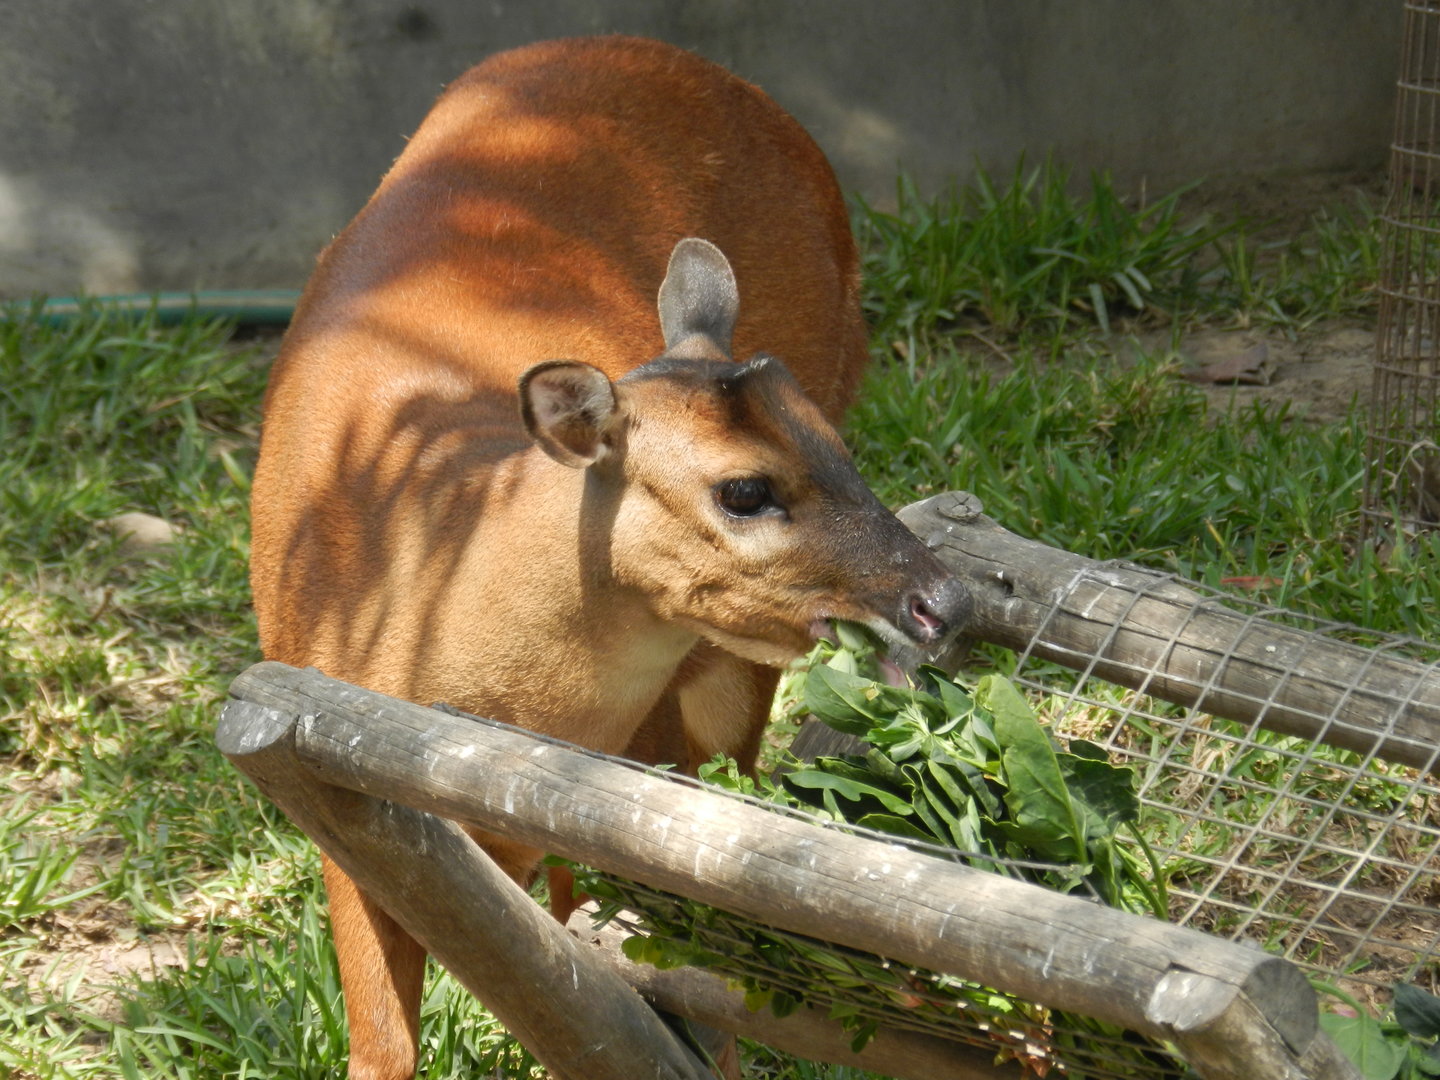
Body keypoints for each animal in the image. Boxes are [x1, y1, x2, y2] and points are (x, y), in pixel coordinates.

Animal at [248, 34, 969, 1080]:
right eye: (744, 490)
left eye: (841, 449)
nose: (942, 601)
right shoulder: (333, 786)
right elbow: (388, 1048)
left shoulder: (639, 783)